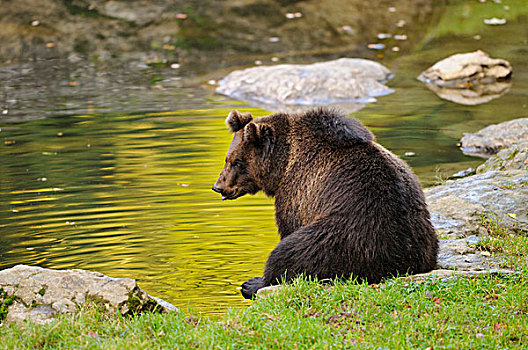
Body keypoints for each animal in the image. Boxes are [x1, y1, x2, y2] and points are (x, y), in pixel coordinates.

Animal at [212, 107, 440, 298]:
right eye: (227, 159)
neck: (282, 164)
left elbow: (289, 228)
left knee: (295, 249)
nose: (218, 186)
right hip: (421, 231)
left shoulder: (298, 192)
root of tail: (403, 263)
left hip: (352, 234)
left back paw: (253, 283)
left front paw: (255, 281)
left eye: (236, 161)